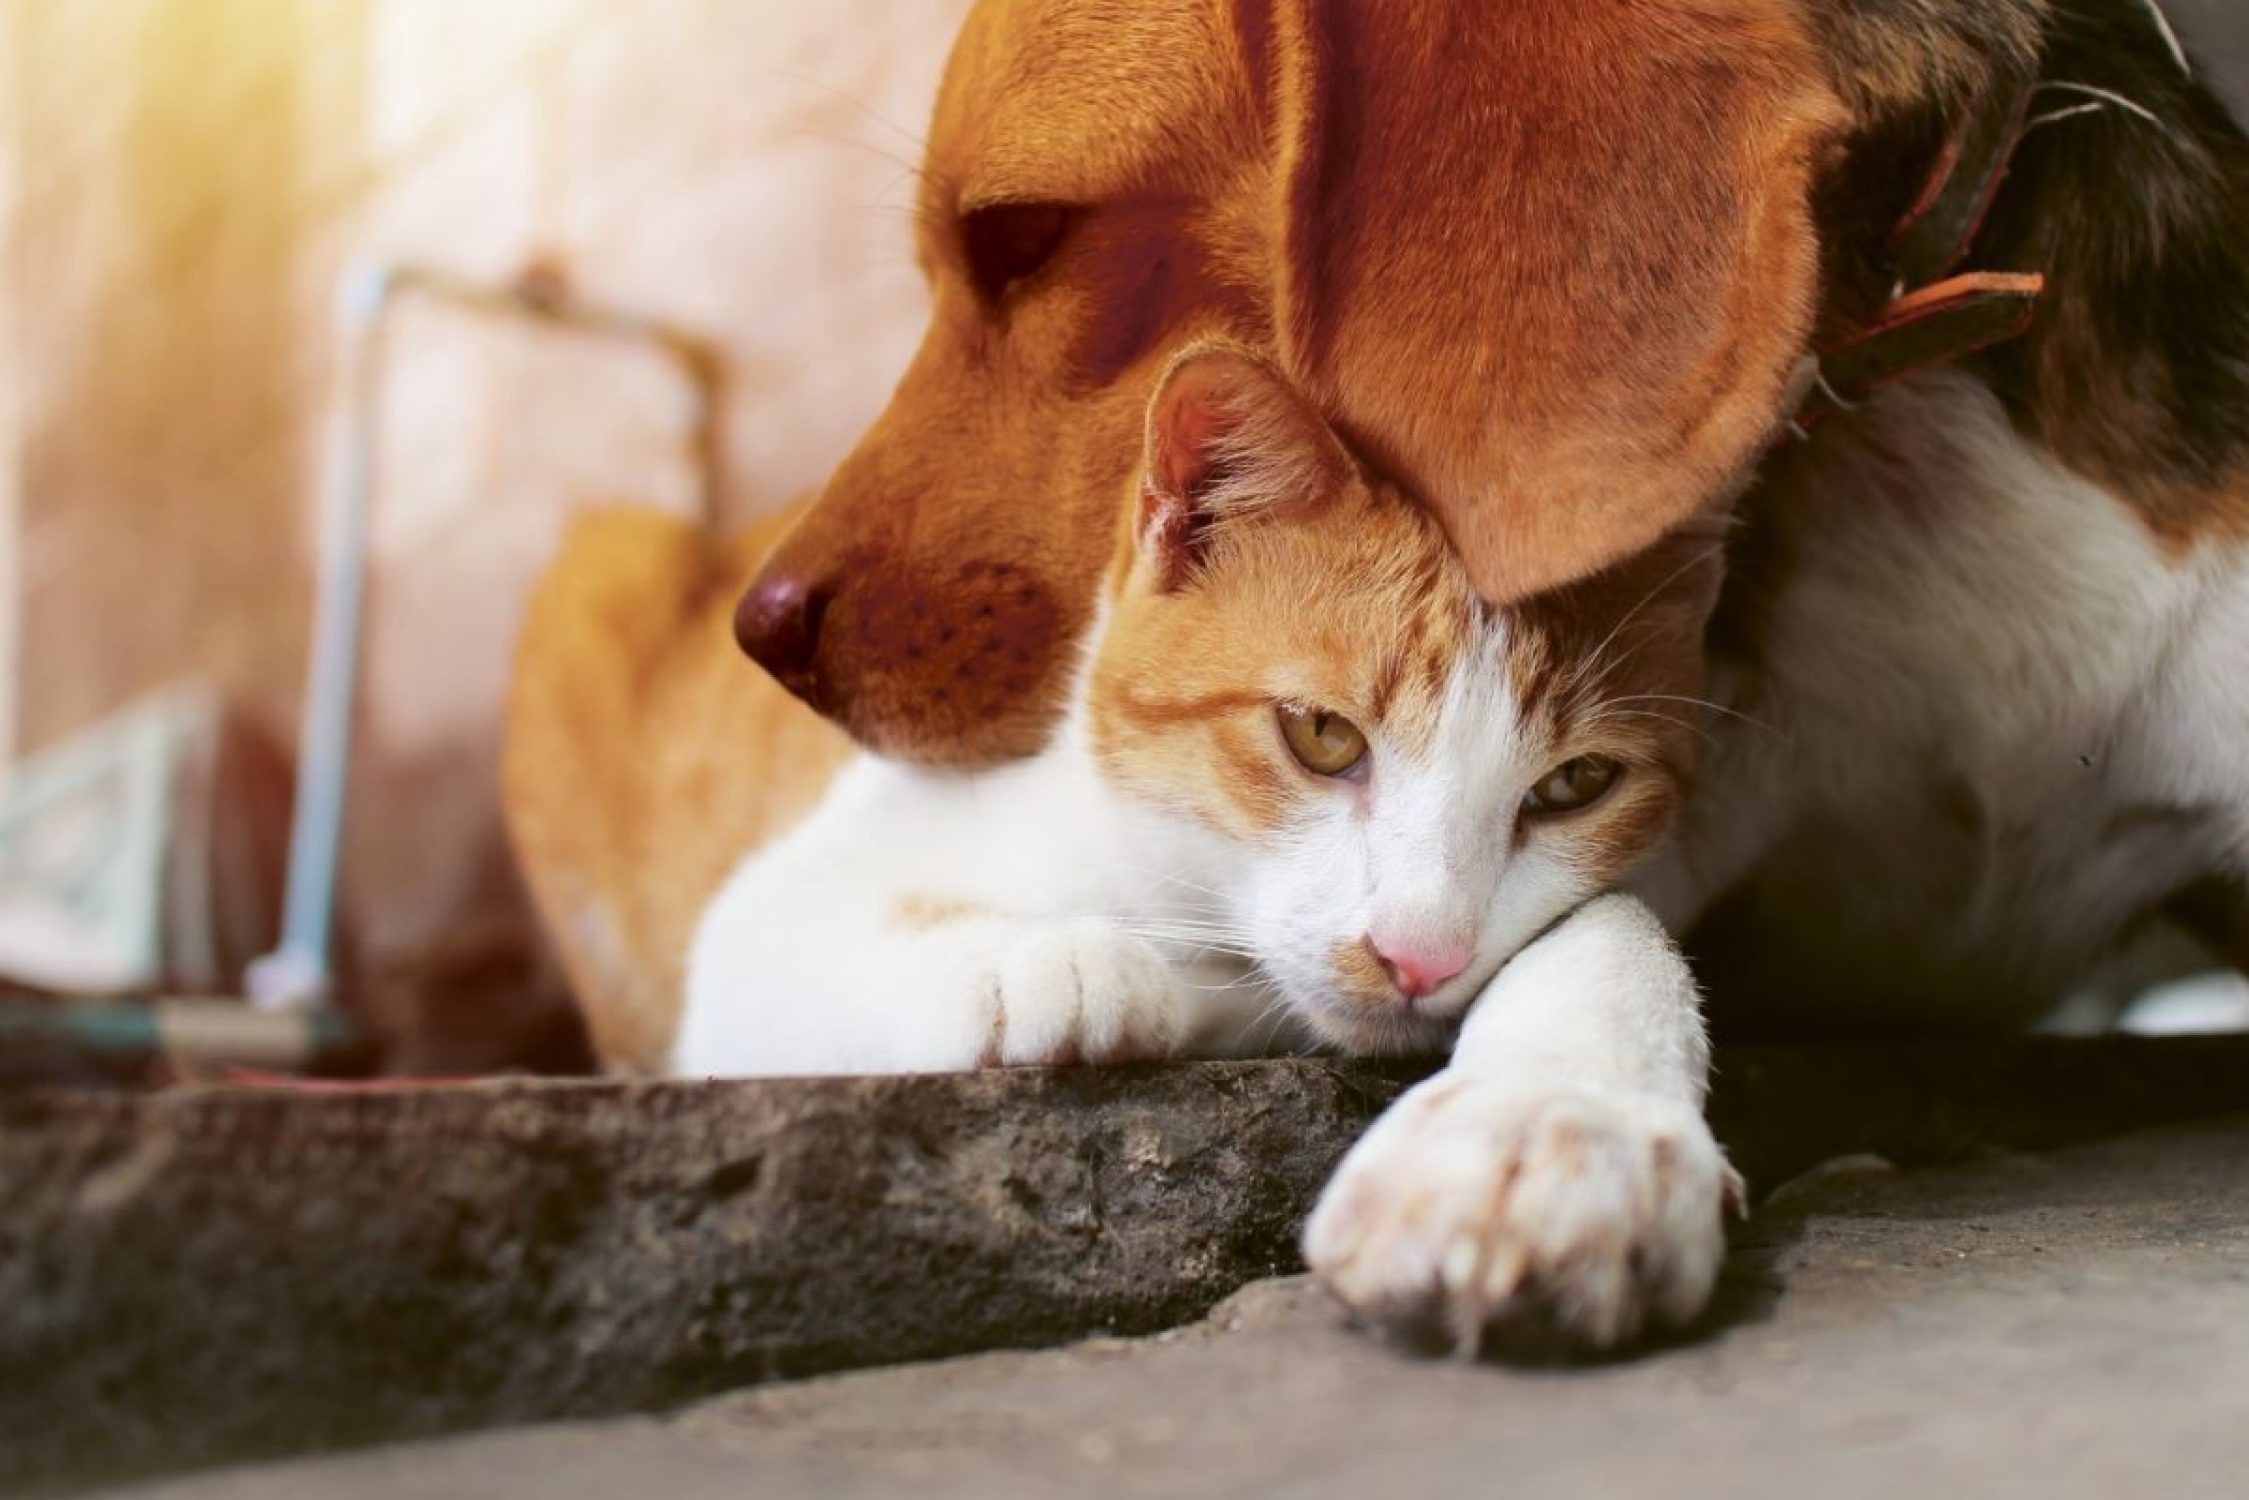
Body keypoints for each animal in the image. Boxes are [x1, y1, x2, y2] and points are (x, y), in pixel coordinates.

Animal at [674, 346, 1727, 1340]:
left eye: (1574, 785)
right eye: (1321, 734)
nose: (1419, 959)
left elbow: (1617, 922)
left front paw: (1564, 1125)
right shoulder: (771, 924)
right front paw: (1045, 961)